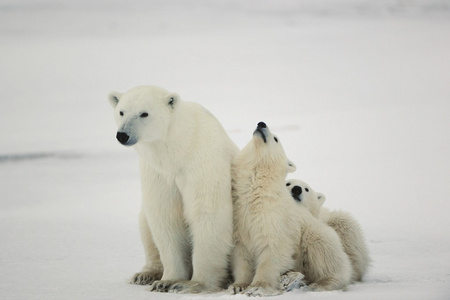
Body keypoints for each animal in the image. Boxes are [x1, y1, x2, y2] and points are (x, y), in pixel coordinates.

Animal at [108, 85, 239, 292]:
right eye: (121, 112)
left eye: (144, 113)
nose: (123, 135)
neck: (178, 150)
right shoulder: (158, 173)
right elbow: (165, 216)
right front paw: (166, 281)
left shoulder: (203, 162)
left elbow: (207, 213)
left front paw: (194, 284)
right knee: (145, 224)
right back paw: (145, 274)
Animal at [230, 120, 300, 296]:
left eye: (276, 138)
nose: (261, 124)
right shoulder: (239, 218)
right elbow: (241, 255)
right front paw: (238, 285)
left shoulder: (273, 218)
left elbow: (273, 250)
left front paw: (258, 286)